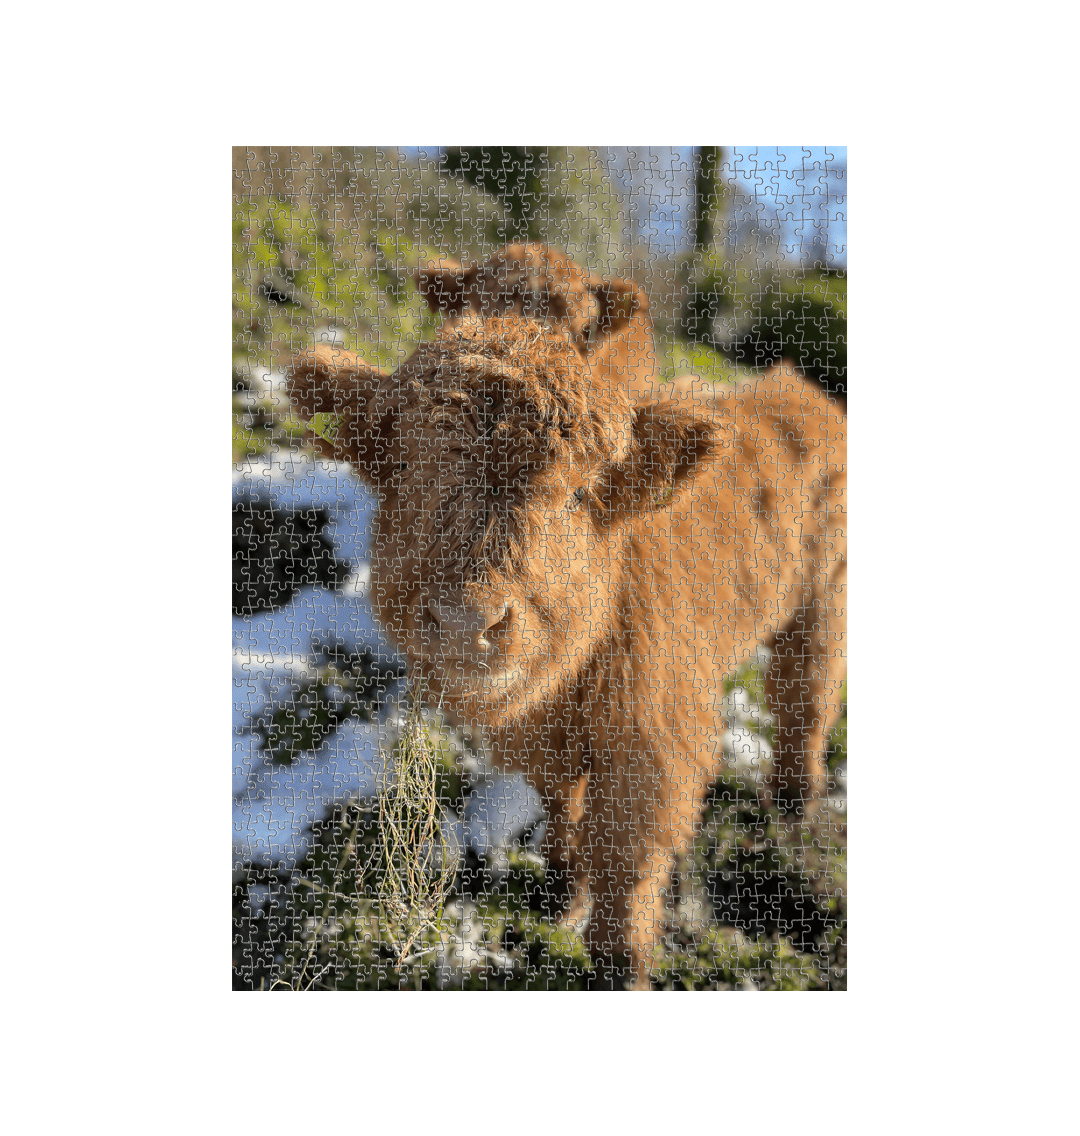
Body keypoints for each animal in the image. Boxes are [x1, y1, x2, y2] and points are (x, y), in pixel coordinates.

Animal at [287, 311, 847, 989]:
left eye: (577, 494)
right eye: (404, 472)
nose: (467, 620)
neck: (565, 682)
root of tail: (799, 390)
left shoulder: (652, 741)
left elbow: (628, 861)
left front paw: (620, 965)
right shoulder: (539, 736)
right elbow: (561, 798)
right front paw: (561, 891)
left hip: (824, 602)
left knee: (805, 698)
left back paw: (794, 803)